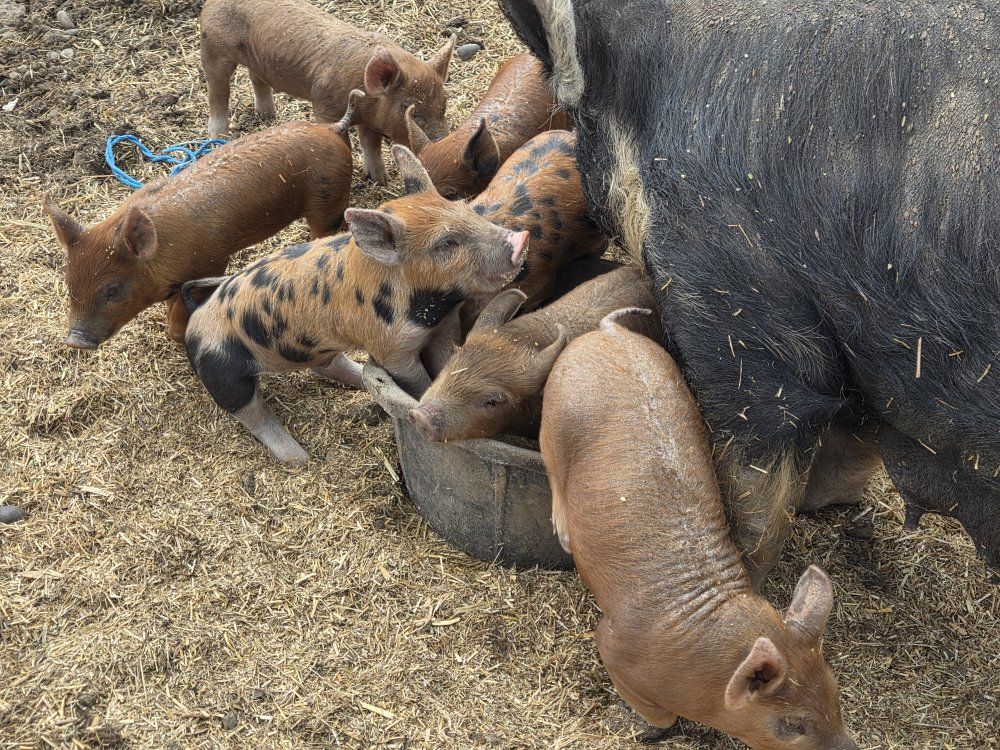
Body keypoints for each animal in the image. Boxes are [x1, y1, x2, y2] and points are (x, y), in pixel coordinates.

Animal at [45, 91, 363, 349]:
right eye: (69, 281)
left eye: (112, 290)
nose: (75, 341)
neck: (163, 253)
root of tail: (331, 128)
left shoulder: (212, 261)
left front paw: (176, 334)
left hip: (328, 198)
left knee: (326, 229)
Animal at [183, 145, 529, 466]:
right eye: (446, 244)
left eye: (464, 209)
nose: (520, 239)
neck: (432, 308)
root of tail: (195, 319)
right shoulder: (392, 349)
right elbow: (416, 382)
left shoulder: (444, 327)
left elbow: (445, 362)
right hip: (222, 372)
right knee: (250, 411)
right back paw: (299, 459)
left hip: (311, 348)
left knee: (329, 365)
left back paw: (359, 377)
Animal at [200, 0, 456, 184]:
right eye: (407, 107)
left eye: (444, 103)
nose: (444, 142)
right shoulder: (325, 105)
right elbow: (346, 144)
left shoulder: (372, 119)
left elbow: (371, 145)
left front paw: (381, 180)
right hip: (213, 49)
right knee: (217, 91)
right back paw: (219, 137)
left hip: (257, 60)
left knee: (256, 78)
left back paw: (268, 116)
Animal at [539, 308, 858, 750]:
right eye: (793, 725)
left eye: (836, 693)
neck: (704, 674)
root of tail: (608, 332)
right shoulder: (614, 645)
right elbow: (659, 711)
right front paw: (649, 728)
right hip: (553, 414)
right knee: (551, 468)